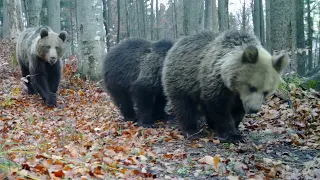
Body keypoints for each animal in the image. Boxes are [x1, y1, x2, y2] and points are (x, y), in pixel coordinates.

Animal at [162, 29, 290, 143]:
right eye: (252, 87)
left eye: (266, 91)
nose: (254, 109)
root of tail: (178, 42)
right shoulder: (215, 83)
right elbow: (219, 108)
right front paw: (232, 135)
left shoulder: (238, 96)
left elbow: (237, 110)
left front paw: (235, 127)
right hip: (181, 79)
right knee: (184, 105)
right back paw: (191, 130)